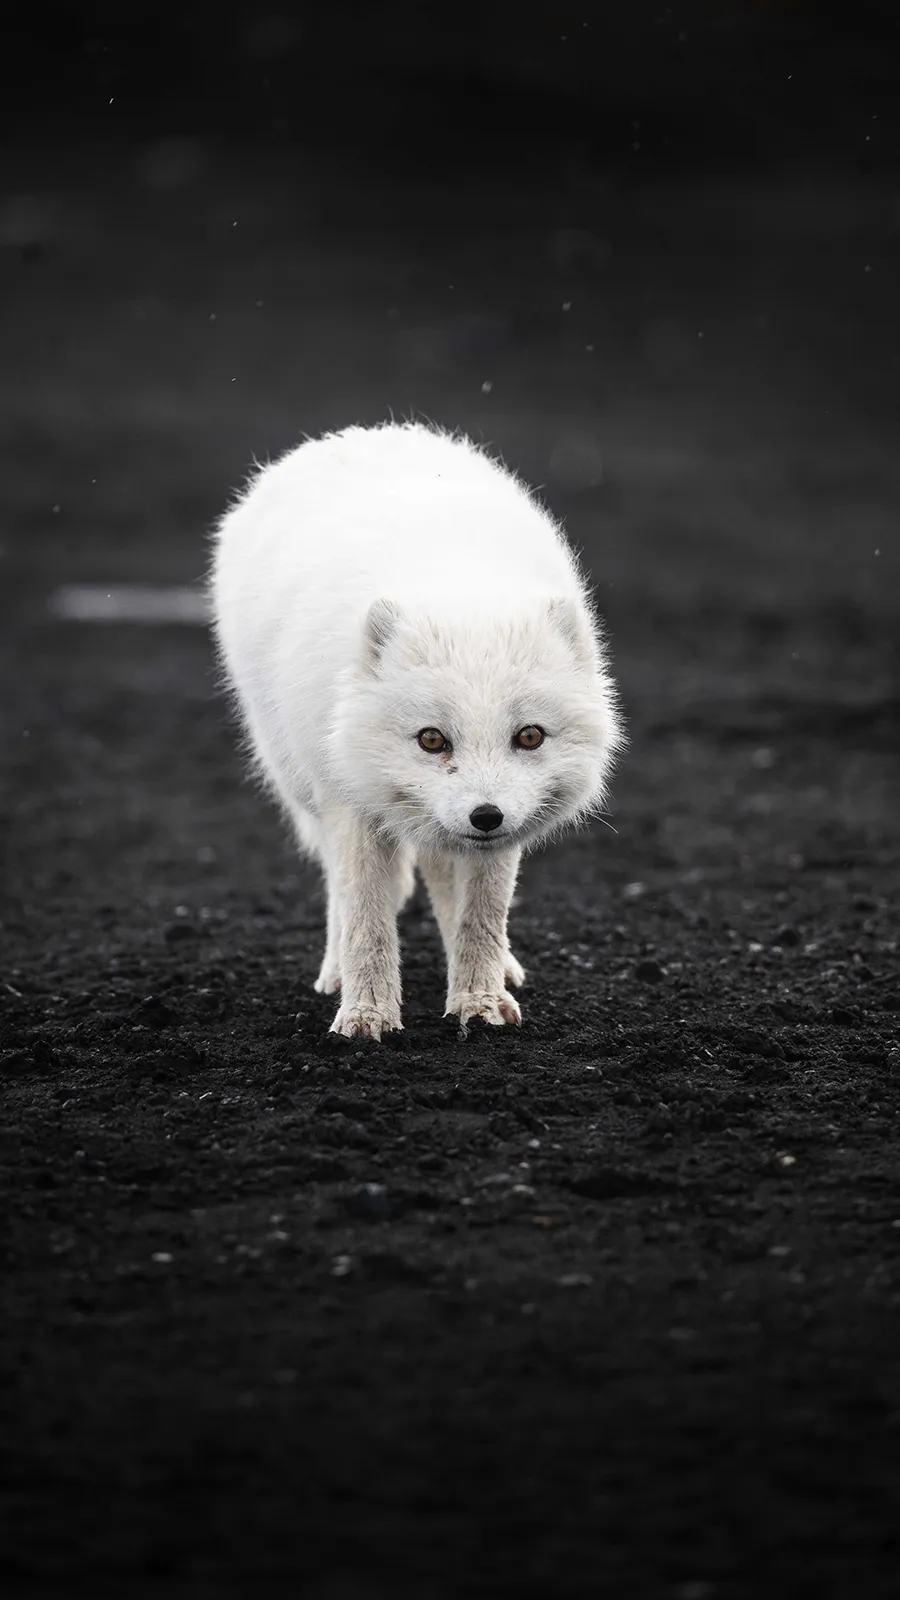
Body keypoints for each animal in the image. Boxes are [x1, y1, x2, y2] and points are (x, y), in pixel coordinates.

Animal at [210, 420, 624, 1040]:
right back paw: (335, 970)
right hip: (302, 781)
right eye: (432, 739)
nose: (485, 816)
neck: (455, 588)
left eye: (529, 736)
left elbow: (481, 915)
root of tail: (356, 432)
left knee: (440, 871)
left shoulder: (500, 835)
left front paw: (479, 999)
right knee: (343, 884)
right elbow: (366, 915)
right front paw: (366, 1014)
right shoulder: (350, 801)